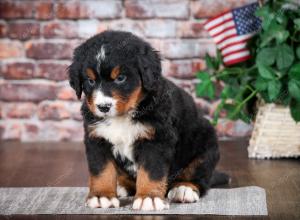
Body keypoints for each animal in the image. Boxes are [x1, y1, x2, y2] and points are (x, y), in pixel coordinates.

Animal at [68, 30, 227, 211]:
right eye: (90, 80)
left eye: (121, 78)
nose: (103, 106)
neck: (122, 117)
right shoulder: (97, 139)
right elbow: (102, 170)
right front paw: (102, 196)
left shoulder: (156, 140)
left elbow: (151, 172)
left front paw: (148, 198)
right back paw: (122, 187)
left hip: (206, 145)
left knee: (198, 175)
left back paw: (184, 188)